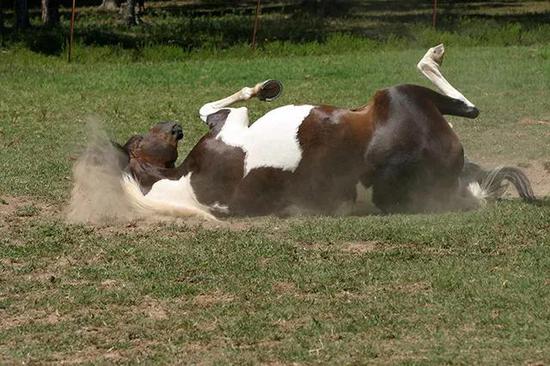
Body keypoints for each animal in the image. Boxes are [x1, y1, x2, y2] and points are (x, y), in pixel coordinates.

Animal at [119, 43, 536, 220]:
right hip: (400, 94)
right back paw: (433, 54)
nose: (173, 128)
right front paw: (265, 88)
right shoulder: (231, 122)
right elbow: (216, 105)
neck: (184, 181)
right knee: (466, 105)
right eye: (139, 140)